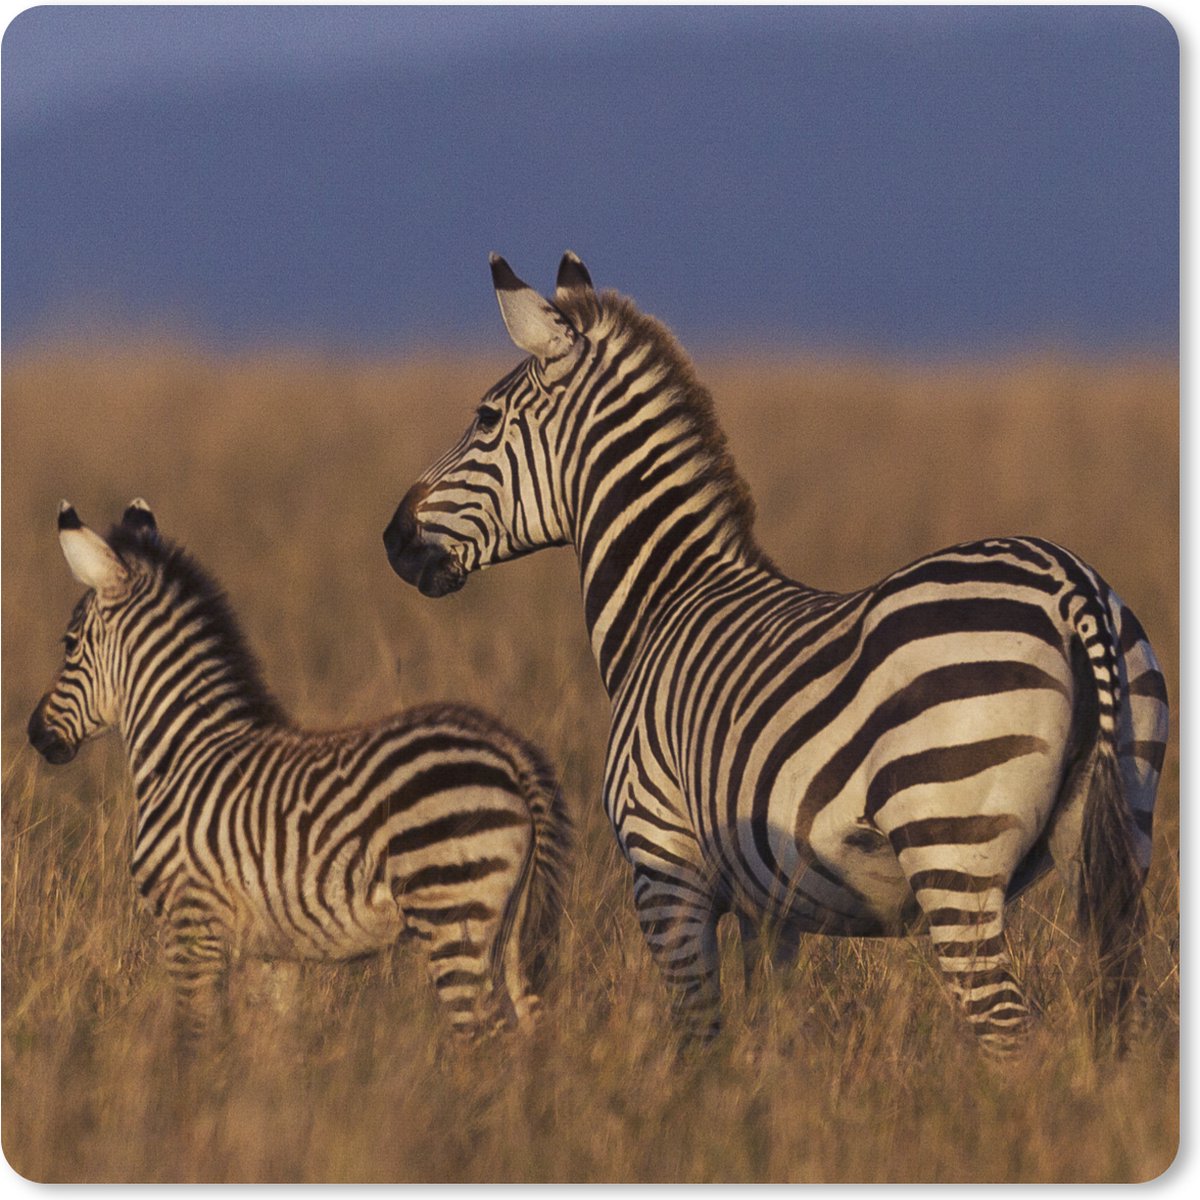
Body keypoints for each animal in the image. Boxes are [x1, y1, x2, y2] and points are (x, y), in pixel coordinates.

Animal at [28, 499, 572, 1042]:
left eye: (68, 643)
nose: (35, 734)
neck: (184, 751)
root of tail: (509, 751)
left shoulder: (192, 921)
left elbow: (196, 1035)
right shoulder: (273, 953)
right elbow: (270, 1045)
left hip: (451, 913)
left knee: (484, 1038)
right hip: (508, 928)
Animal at [382, 252, 1168, 1054]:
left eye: (485, 419)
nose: (393, 538)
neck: (666, 602)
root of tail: (1069, 586)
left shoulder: (665, 869)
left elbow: (699, 1036)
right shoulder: (771, 906)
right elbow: (769, 1039)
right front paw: (767, 1091)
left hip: (951, 847)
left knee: (1005, 1027)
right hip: (1120, 826)